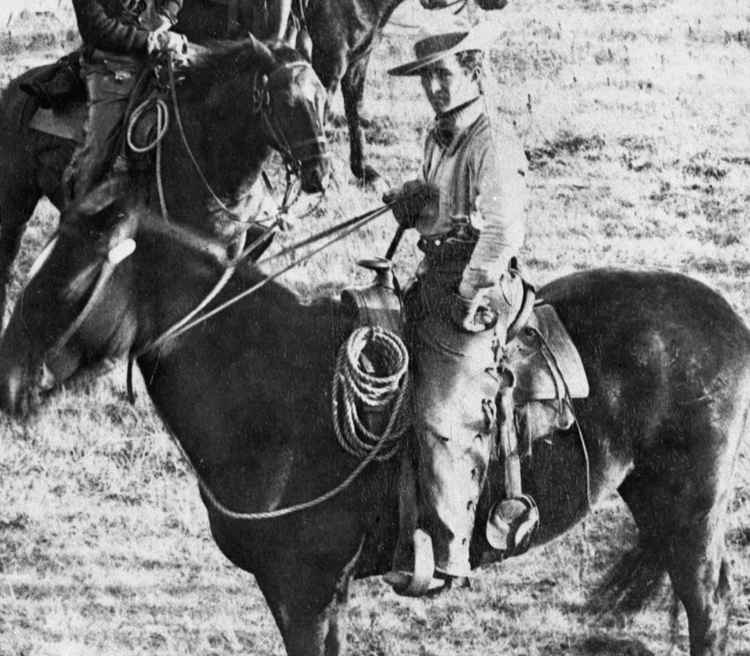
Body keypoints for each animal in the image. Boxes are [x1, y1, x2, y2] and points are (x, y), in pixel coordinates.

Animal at [0, 35, 328, 318]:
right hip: (15, 206)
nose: (319, 174)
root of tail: (14, 89)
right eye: (287, 101)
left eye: (323, 98)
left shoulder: (231, 252)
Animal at [1, 186, 748, 656]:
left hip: (692, 508)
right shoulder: (316, 597)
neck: (272, 389)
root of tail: (725, 317)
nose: (8, 378)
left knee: (708, 606)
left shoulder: (305, 590)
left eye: (72, 276)